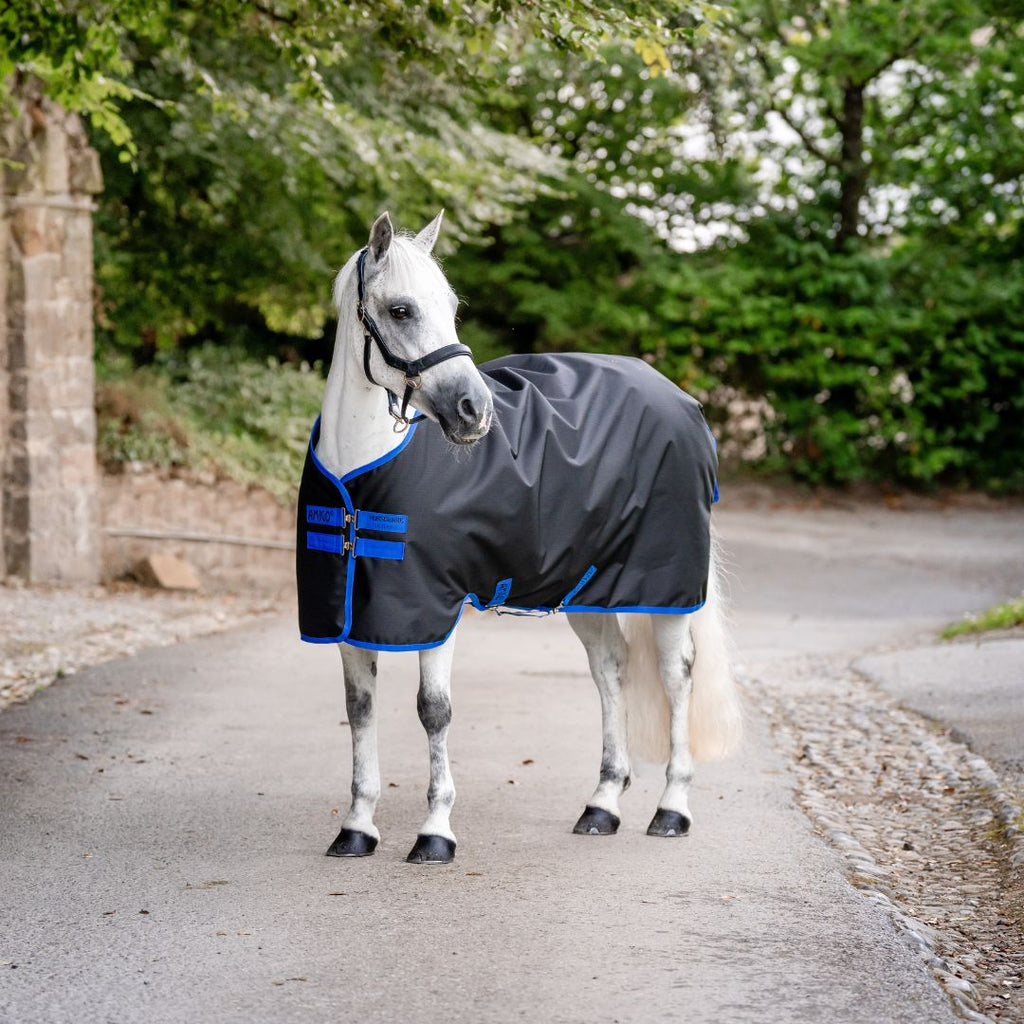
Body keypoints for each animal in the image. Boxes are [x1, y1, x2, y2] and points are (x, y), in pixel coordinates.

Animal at [298, 210, 742, 865]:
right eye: (401, 309)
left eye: (451, 306)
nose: (474, 411)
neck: (361, 476)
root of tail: (682, 400)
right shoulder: (351, 615)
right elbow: (360, 711)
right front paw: (357, 827)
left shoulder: (438, 608)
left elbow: (434, 711)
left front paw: (435, 832)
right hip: (589, 590)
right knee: (610, 670)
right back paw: (602, 805)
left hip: (667, 588)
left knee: (675, 675)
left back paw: (672, 809)